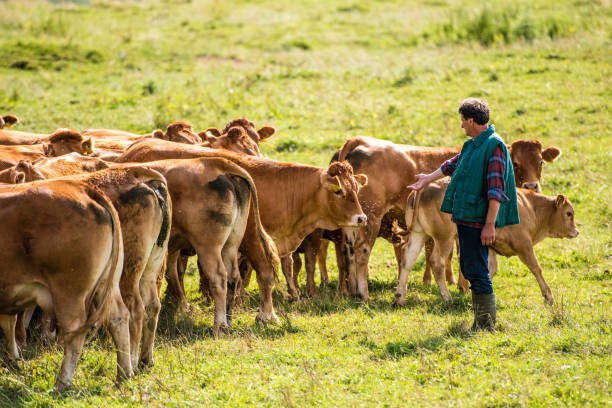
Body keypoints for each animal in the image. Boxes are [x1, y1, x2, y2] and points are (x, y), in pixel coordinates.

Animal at [0, 178, 130, 388]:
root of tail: (81, 188)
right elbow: (8, 323)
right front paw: (13, 360)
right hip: (108, 285)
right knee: (119, 318)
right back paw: (124, 374)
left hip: (69, 293)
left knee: (74, 333)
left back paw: (61, 383)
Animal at [396, 180, 580, 304]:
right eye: (569, 213)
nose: (576, 231)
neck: (530, 207)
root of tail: (425, 187)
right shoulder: (524, 245)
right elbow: (537, 268)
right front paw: (548, 296)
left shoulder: (490, 245)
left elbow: (490, 269)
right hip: (444, 238)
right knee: (437, 262)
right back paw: (446, 297)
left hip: (418, 234)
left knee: (407, 259)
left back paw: (399, 297)